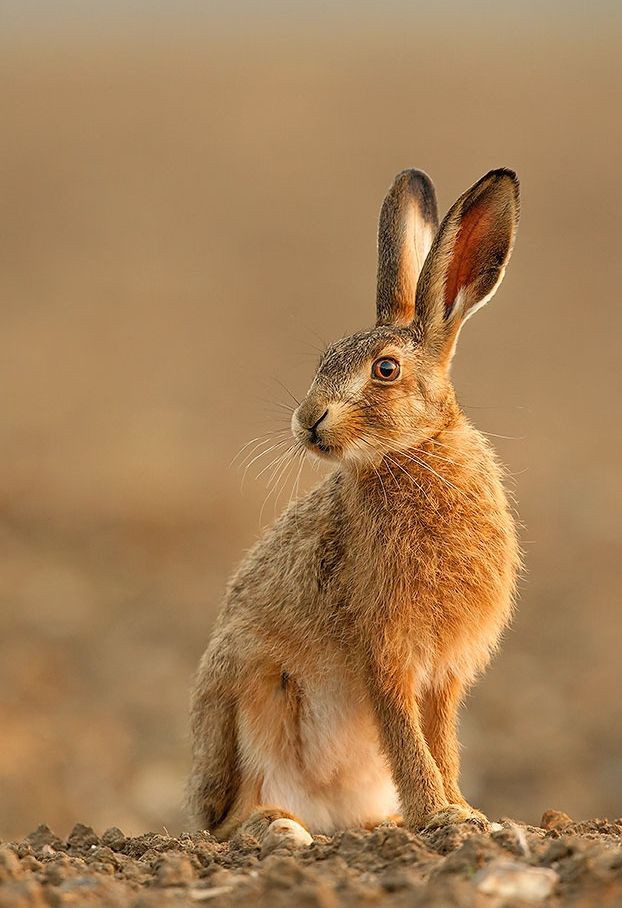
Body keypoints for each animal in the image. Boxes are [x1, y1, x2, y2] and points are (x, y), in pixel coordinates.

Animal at [189, 167, 521, 846]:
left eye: (385, 370)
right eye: (322, 361)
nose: (308, 421)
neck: (412, 453)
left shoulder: (444, 673)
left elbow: (439, 742)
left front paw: (464, 813)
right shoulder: (384, 653)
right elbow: (407, 737)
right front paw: (443, 817)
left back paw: (379, 824)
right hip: (250, 696)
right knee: (227, 821)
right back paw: (280, 829)